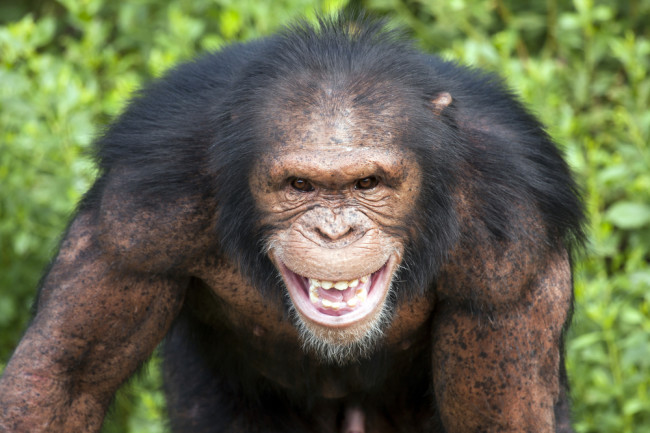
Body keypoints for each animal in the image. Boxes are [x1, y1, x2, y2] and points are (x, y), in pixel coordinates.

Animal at [0, 13, 584, 432]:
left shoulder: (509, 249)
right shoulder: (138, 218)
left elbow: (501, 417)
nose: (335, 232)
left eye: (367, 183)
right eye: (300, 185)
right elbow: (63, 383)